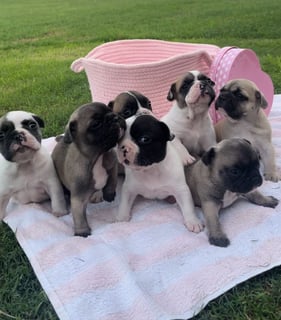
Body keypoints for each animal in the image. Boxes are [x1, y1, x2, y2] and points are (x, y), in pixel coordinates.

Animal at [52, 101, 126, 236]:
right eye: (96, 124)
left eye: (111, 110)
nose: (114, 117)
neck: (98, 156)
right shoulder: (78, 198)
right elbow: (79, 216)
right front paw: (82, 232)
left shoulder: (112, 166)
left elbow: (112, 182)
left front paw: (109, 195)